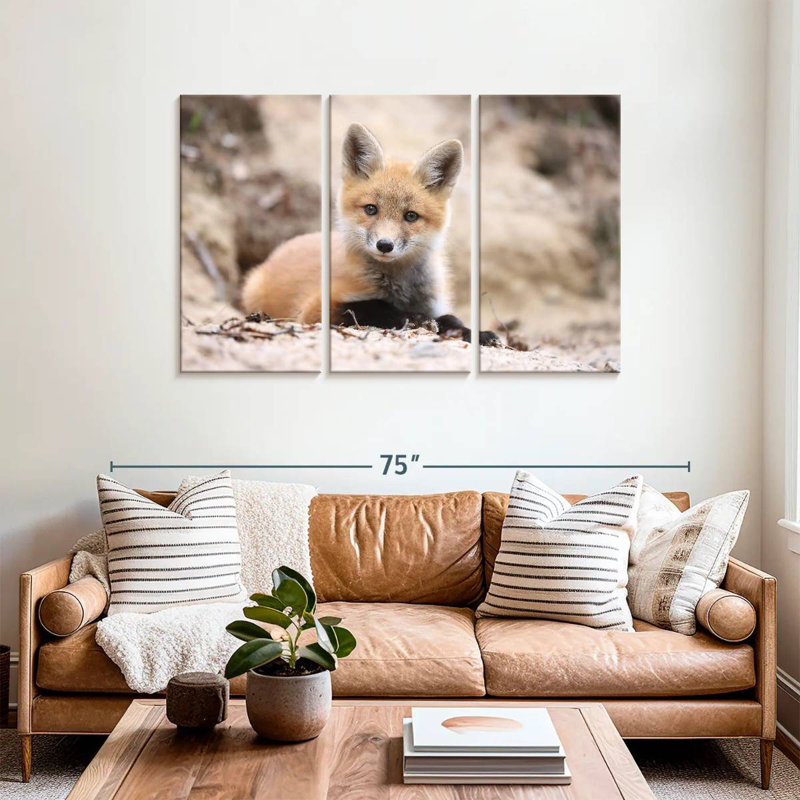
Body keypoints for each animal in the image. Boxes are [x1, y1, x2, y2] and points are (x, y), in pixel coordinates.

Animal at [241, 123, 499, 345]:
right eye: (371, 209)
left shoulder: (435, 304)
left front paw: (477, 334)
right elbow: (372, 306)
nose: (384, 245)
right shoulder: (314, 309)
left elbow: (452, 319)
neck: (401, 289)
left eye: (411, 216)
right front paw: (414, 318)